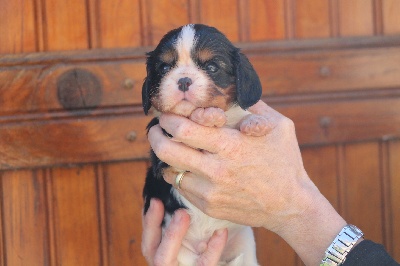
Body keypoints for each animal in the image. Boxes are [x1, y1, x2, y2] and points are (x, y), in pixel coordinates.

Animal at [142, 23, 268, 264]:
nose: (183, 80)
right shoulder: (163, 151)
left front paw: (255, 122)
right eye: (164, 68)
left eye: (211, 67)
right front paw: (207, 116)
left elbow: (241, 117)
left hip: (244, 248)